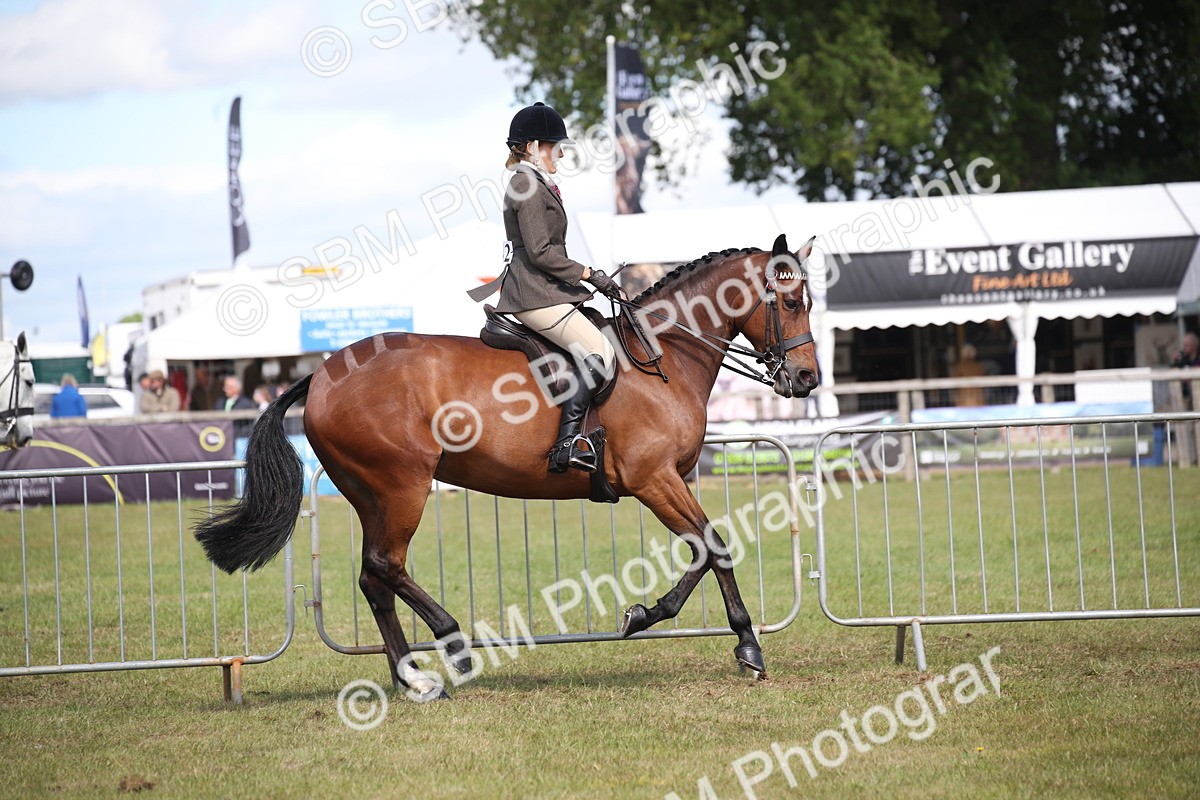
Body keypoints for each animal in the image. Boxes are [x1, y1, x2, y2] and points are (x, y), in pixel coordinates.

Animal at [196, 234, 819, 699]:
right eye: (791, 303)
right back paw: (451, 645)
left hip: (370, 493)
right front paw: (739, 643)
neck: (660, 355)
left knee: (375, 578)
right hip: (401, 487)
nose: (807, 379)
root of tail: (323, 373)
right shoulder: (653, 480)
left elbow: (707, 548)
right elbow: (713, 545)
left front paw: (665, 619)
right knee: (385, 566)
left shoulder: (672, 480)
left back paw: (414, 681)